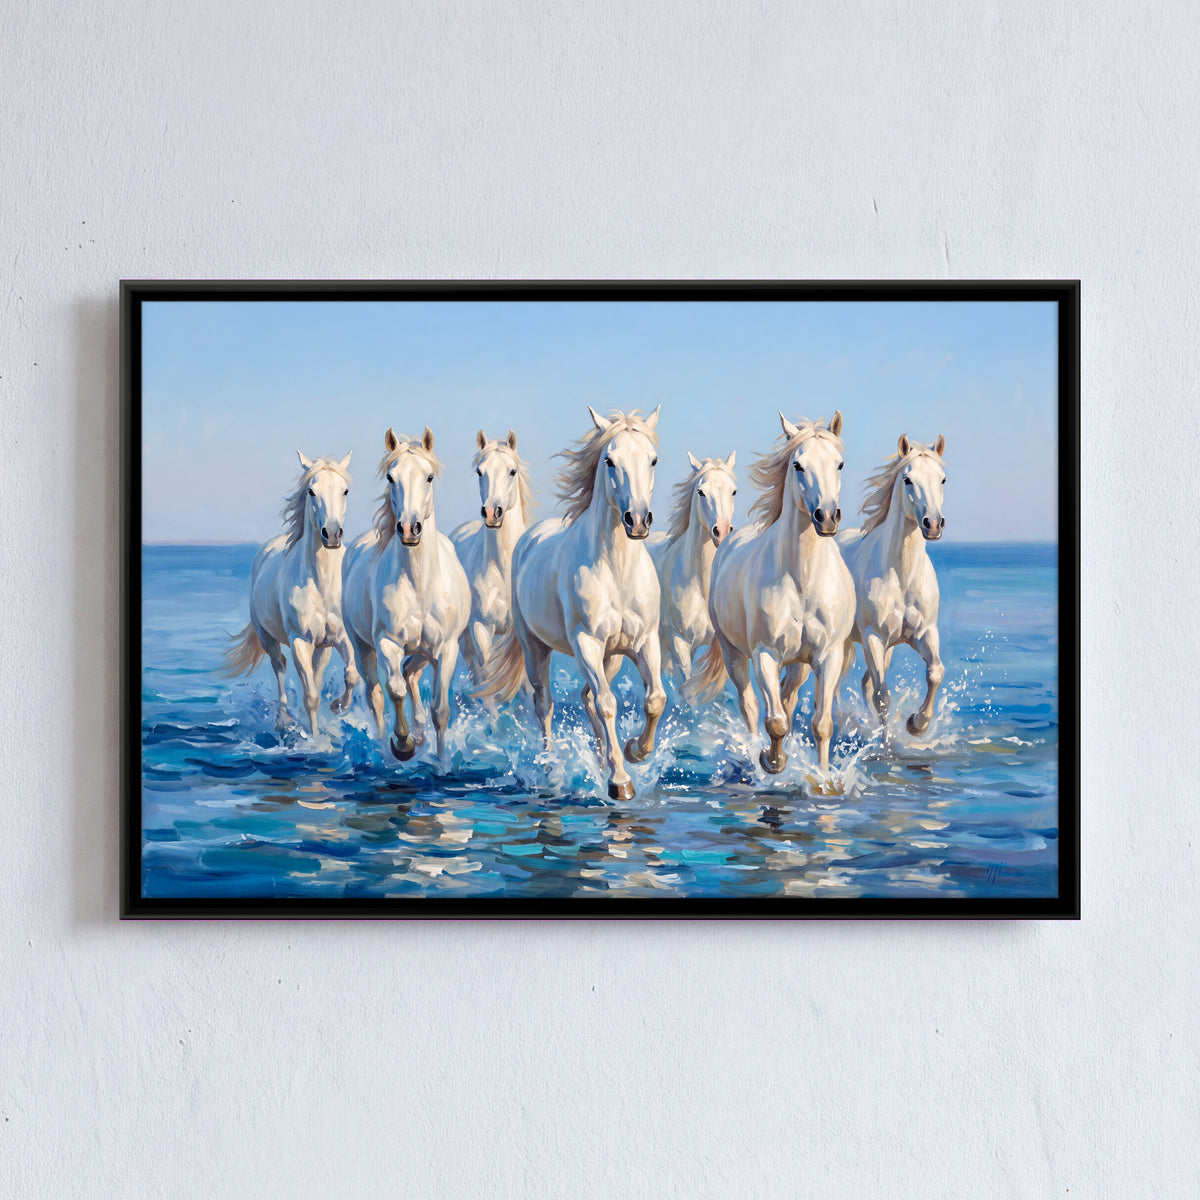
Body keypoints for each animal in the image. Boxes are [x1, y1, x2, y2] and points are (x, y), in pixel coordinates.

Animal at [223, 451, 359, 737]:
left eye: (345, 490)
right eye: (311, 491)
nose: (332, 534)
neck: (323, 584)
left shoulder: (341, 638)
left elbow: (351, 675)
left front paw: (338, 706)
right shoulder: (300, 642)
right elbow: (311, 697)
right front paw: (316, 740)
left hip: (322, 647)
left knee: (315, 675)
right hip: (268, 639)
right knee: (280, 667)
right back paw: (283, 719)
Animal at [341, 427, 470, 761]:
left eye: (429, 477)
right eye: (391, 477)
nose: (410, 529)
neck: (420, 584)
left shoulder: (446, 650)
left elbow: (440, 710)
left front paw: (441, 762)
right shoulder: (387, 643)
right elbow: (395, 690)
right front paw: (403, 744)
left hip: (424, 651)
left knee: (411, 674)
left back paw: (421, 733)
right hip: (362, 647)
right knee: (376, 694)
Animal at [478, 406, 666, 801]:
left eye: (653, 459)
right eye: (609, 460)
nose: (638, 520)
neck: (617, 570)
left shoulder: (645, 642)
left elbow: (655, 698)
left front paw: (634, 752)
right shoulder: (586, 644)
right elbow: (608, 704)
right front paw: (621, 781)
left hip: (612, 656)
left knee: (587, 696)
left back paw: (603, 759)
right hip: (536, 649)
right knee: (545, 704)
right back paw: (552, 768)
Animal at [688, 412, 855, 777]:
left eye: (839, 464)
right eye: (798, 465)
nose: (827, 516)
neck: (802, 581)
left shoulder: (828, 656)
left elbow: (820, 723)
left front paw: (823, 777)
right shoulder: (765, 654)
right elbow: (774, 721)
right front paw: (772, 761)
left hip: (799, 665)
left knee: (787, 698)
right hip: (734, 653)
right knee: (750, 704)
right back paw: (754, 753)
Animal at [836, 433, 947, 736]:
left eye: (943, 479)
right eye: (908, 479)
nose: (933, 524)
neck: (903, 576)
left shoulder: (925, 633)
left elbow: (936, 672)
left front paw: (916, 723)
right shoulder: (874, 638)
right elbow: (882, 696)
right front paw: (888, 743)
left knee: (863, 683)